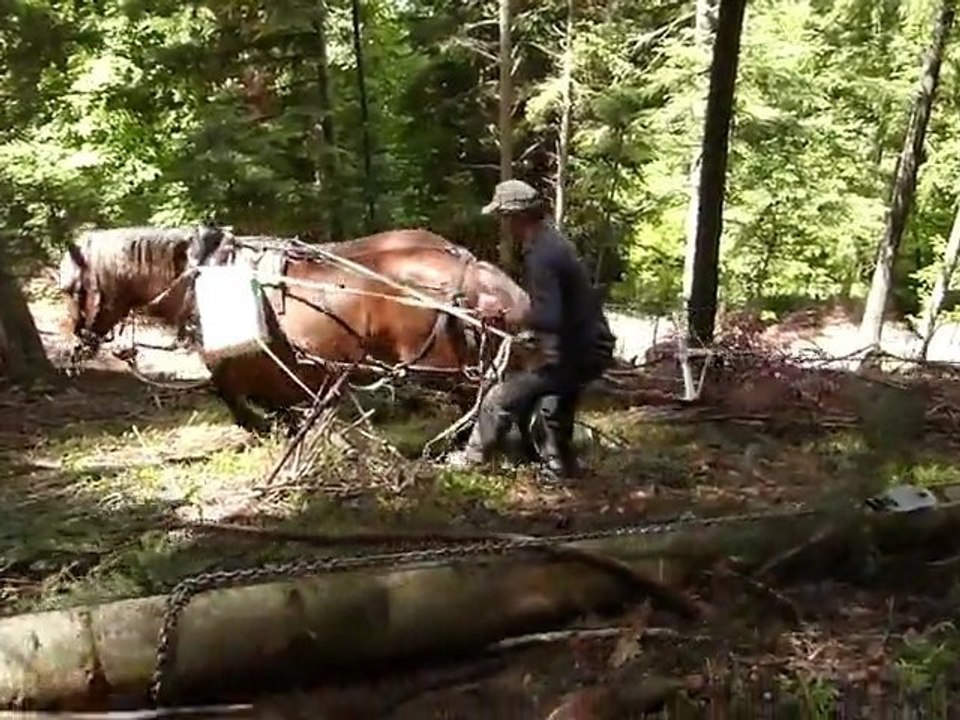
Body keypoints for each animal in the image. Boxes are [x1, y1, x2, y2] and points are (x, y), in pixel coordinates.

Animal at [58, 225, 533, 435]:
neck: (200, 275)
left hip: (442, 366)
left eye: (74, 288)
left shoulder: (239, 367)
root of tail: (467, 265)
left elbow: (236, 402)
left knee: (482, 398)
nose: (75, 344)